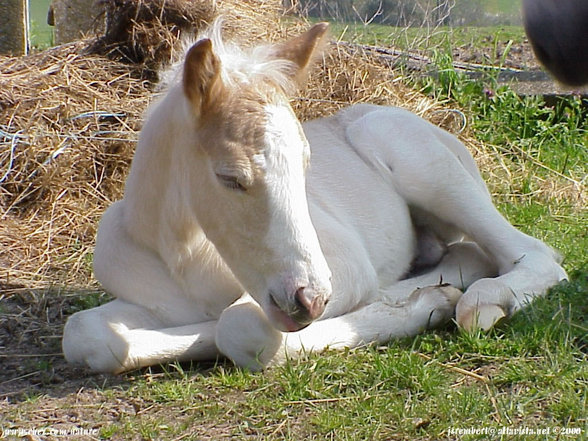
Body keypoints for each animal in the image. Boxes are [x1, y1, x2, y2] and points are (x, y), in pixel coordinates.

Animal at [62, 21, 568, 372]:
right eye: (231, 178)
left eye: (307, 165)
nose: (310, 300)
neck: (187, 257)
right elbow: (86, 334)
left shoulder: (345, 265)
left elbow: (241, 327)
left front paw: (421, 306)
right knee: (468, 253)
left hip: (427, 169)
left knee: (531, 253)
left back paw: (478, 300)